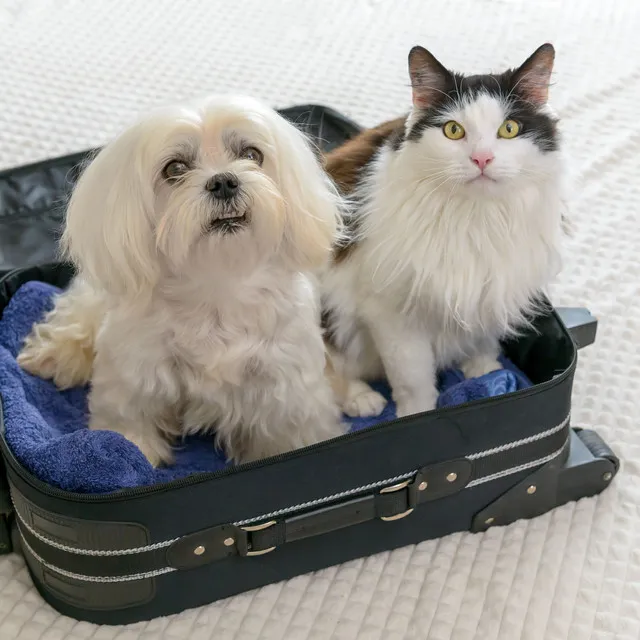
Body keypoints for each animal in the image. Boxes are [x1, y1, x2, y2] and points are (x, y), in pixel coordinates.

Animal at [20, 95, 348, 464]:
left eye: (251, 154)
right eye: (174, 169)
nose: (224, 181)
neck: (217, 282)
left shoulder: (284, 386)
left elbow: (287, 434)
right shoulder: (136, 374)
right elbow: (130, 426)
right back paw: (53, 356)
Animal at [322, 42, 568, 418]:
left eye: (509, 129)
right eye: (453, 130)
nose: (482, 159)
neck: (477, 217)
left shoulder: (494, 286)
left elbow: (484, 339)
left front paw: (484, 372)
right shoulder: (392, 315)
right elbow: (413, 379)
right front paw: (417, 416)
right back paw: (362, 399)